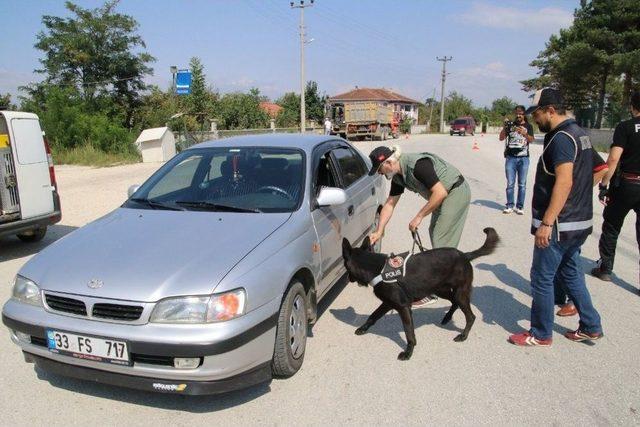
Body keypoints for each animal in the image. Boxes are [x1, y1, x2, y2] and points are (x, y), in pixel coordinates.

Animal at [342, 227, 498, 362]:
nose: (348, 278)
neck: (376, 269)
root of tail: (464, 255)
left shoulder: (403, 308)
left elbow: (409, 333)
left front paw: (408, 352)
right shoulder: (387, 303)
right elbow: (373, 316)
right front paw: (363, 328)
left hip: (459, 293)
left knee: (470, 316)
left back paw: (463, 335)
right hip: (440, 290)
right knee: (454, 302)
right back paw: (447, 318)